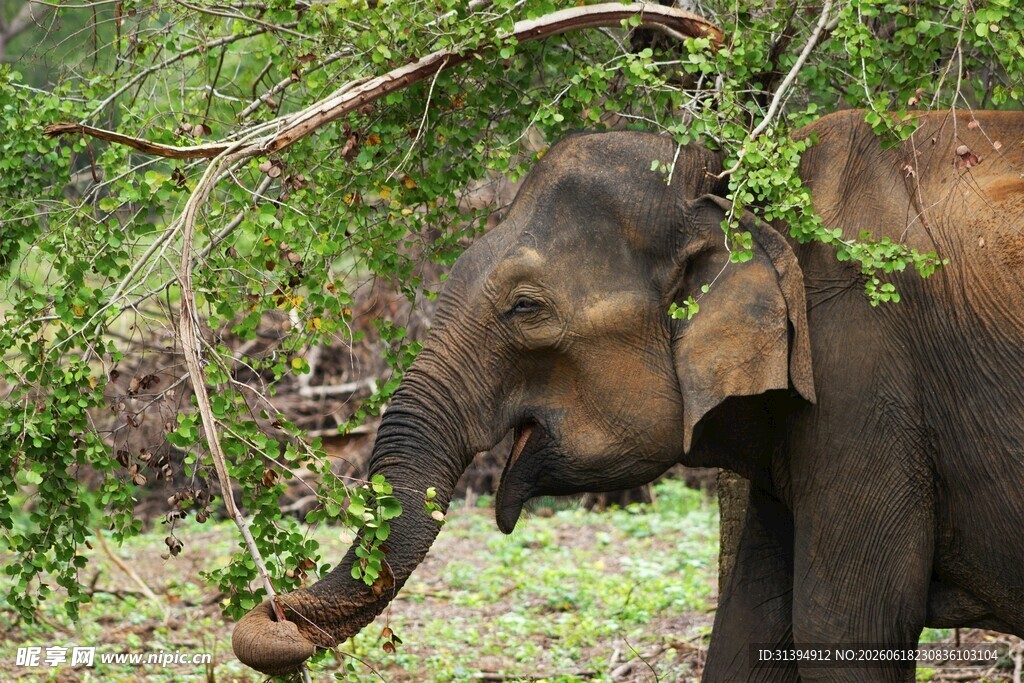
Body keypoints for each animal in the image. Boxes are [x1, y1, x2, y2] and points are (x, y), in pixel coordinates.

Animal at [232, 109, 1024, 681]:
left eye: (526, 307)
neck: (728, 178)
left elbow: (847, 626)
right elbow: (753, 623)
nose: (272, 614)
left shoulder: (863, 375)